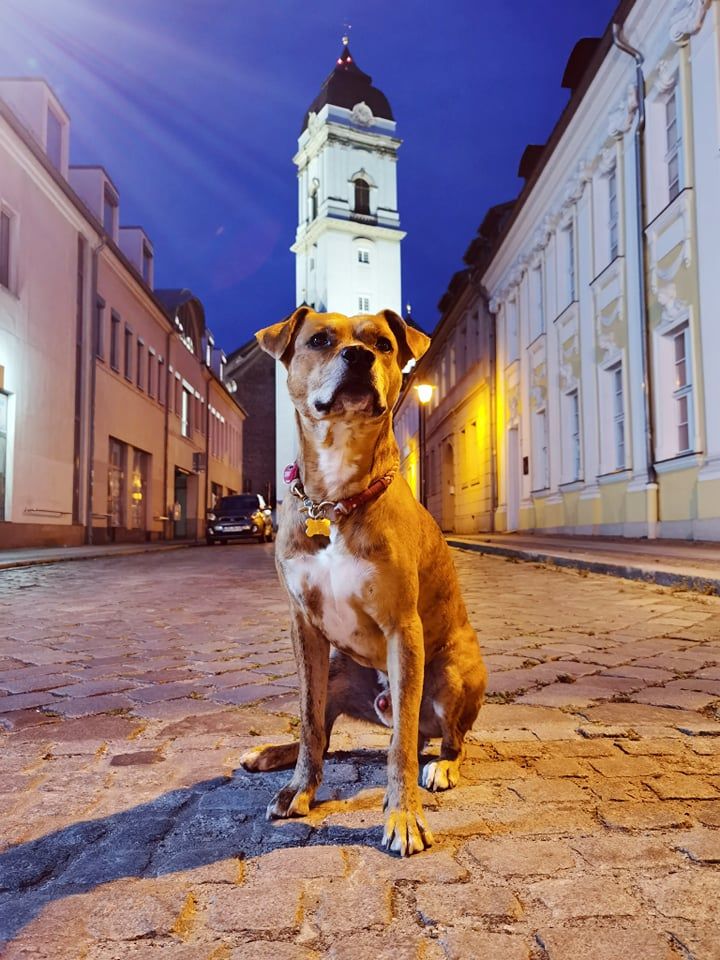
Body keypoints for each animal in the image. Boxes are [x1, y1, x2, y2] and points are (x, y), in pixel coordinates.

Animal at [243, 308, 490, 856]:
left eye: (382, 344)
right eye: (319, 340)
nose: (357, 356)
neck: (333, 501)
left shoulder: (403, 628)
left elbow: (399, 749)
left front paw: (403, 816)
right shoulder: (304, 629)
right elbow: (309, 722)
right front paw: (298, 789)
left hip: (452, 673)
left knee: (443, 739)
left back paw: (442, 766)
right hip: (338, 671)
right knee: (326, 734)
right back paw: (272, 755)